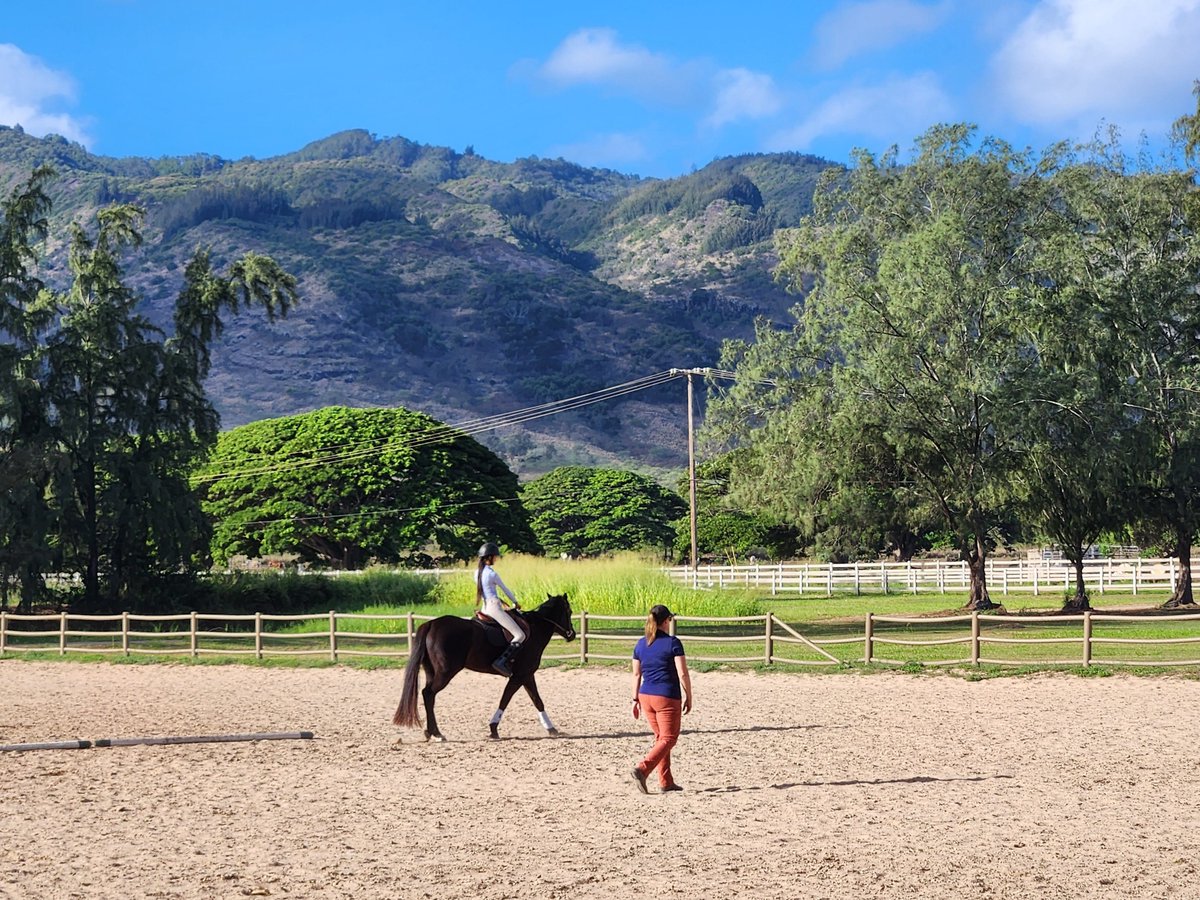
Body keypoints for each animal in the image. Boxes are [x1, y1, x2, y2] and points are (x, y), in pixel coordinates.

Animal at [392, 593, 576, 741]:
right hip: (445, 673)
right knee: (428, 693)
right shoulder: (520, 676)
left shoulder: (527, 675)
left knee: (429, 696)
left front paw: (551, 729)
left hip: (432, 672)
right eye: (569, 612)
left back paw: (432, 732)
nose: (572, 635)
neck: (535, 629)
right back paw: (436, 733)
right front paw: (493, 728)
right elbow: (506, 699)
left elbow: (537, 701)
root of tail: (431, 624)